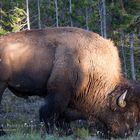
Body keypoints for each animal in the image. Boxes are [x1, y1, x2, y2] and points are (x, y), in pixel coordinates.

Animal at [0, 27, 140, 138]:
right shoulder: (59, 93)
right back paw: (3, 132)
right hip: (2, 84)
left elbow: (63, 117)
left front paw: (68, 132)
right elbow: (48, 114)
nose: (127, 133)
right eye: (128, 113)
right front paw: (51, 133)